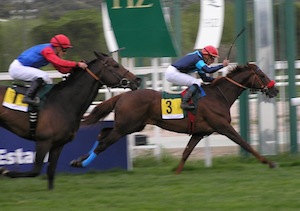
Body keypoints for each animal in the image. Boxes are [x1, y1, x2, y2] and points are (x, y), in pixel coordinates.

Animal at [0, 51, 141, 190]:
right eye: (115, 65)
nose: (137, 80)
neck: (63, 102)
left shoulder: (58, 144)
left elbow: (51, 171)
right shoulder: (43, 141)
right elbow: (35, 171)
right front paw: (6, 171)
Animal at [70, 63, 278, 171]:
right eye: (261, 74)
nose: (274, 90)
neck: (218, 96)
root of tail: (122, 95)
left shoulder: (199, 133)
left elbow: (186, 152)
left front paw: (177, 172)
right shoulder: (223, 126)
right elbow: (245, 143)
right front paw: (269, 162)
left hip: (131, 126)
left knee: (103, 133)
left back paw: (79, 159)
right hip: (126, 127)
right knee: (103, 143)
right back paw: (80, 162)